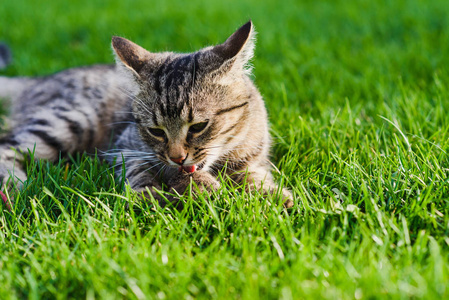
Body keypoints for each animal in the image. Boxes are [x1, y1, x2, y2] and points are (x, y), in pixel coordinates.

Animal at [0, 20, 292, 209]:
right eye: (156, 131)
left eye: (198, 126)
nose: (177, 157)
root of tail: (36, 81)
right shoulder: (126, 148)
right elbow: (146, 172)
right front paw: (189, 189)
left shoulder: (254, 158)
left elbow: (254, 176)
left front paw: (274, 196)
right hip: (68, 120)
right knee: (7, 146)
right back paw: (15, 187)